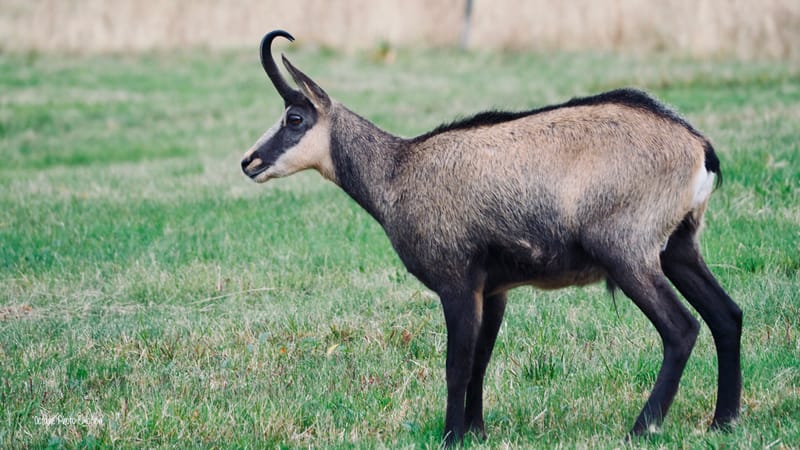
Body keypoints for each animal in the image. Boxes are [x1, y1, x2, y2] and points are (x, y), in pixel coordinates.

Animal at [240, 30, 743, 445]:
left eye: (295, 117)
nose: (249, 162)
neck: (399, 172)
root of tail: (698, 147)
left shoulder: (456, 281)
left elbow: (457, 365)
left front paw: (450, 437)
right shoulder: (494, 288)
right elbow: (481, 358)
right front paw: (476, 432)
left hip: (628, 252)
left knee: (681, 327)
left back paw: (642, 428)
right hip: (679, 247)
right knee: (727, 314)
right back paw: (724, 421)